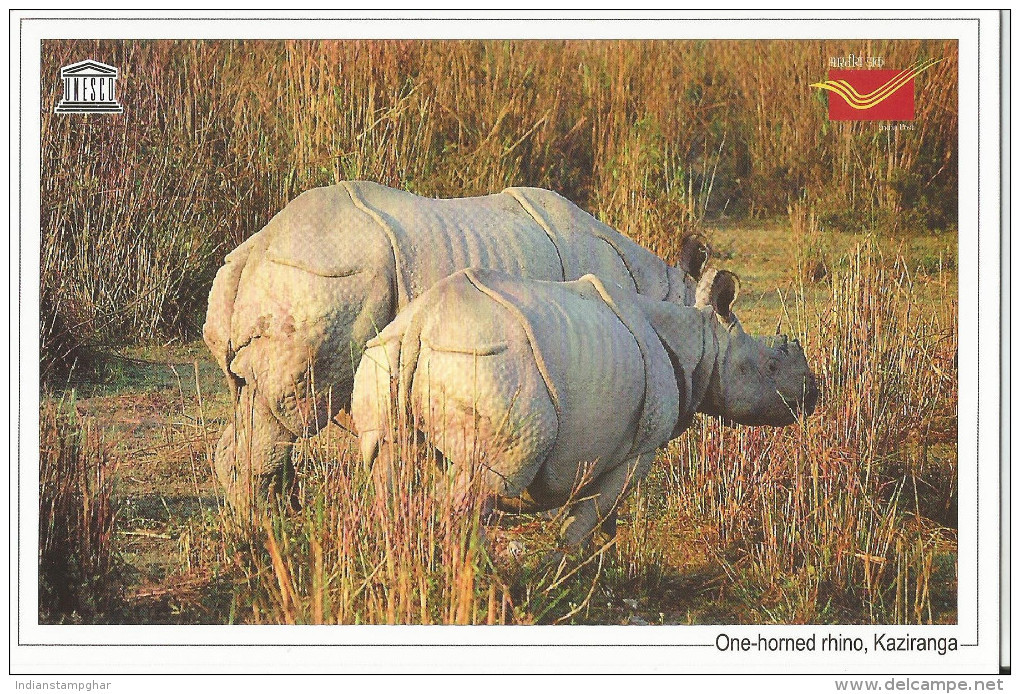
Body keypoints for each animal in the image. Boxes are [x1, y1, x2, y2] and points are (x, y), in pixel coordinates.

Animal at [198, 181, 709, 512]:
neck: (662, 291)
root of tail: (252, 250)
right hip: (321, 279)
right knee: (291, 415)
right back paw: (268, 531)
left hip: (293, 278)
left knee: (254, 403)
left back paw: (261, 530)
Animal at [352, 267, 820, 547]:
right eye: (772, 365)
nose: (813, 394)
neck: (701, 341)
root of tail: (420, 323)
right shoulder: (639, 450)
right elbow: (588, 516)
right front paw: (561, 573)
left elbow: (600, 518)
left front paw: (605, 567)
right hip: (490, 370)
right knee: (484, 483)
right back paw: (483, 581)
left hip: (386, 353)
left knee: (387, 463)